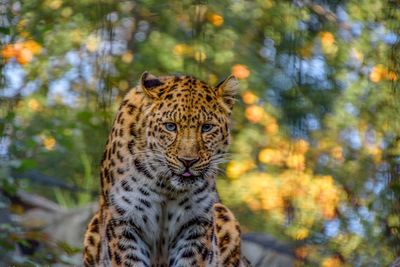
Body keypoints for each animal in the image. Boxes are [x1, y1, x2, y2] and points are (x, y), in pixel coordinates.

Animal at [83, 71, 252, 267]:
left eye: (207, 127)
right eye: (170, 126)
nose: (188, 161)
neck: (167, 187)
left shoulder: (196, 224)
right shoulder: (123, 221)